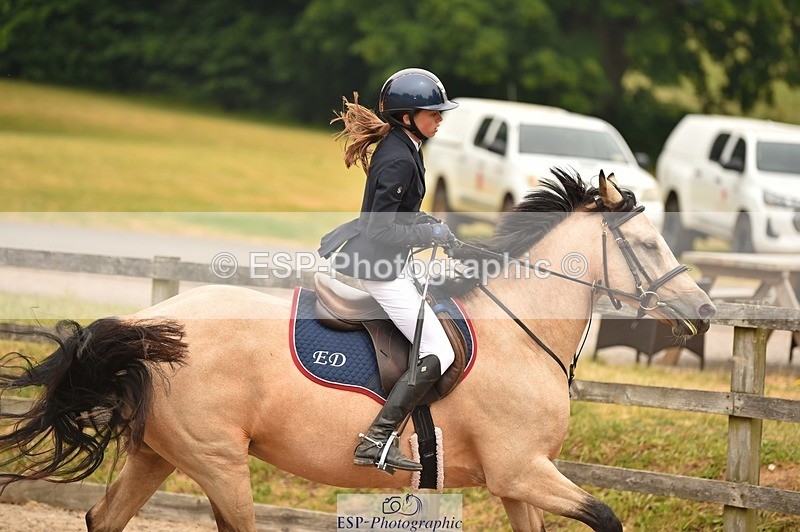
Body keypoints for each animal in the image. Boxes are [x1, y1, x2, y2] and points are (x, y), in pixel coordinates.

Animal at [0, 169, 715, 531]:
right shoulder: (522, 471)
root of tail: (149, 321)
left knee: (103, 519)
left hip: (160, 452)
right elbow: (607, 516)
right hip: (218, 461)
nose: (705, 312)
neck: (520, 331)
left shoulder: (516, 481)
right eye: (646, 245)